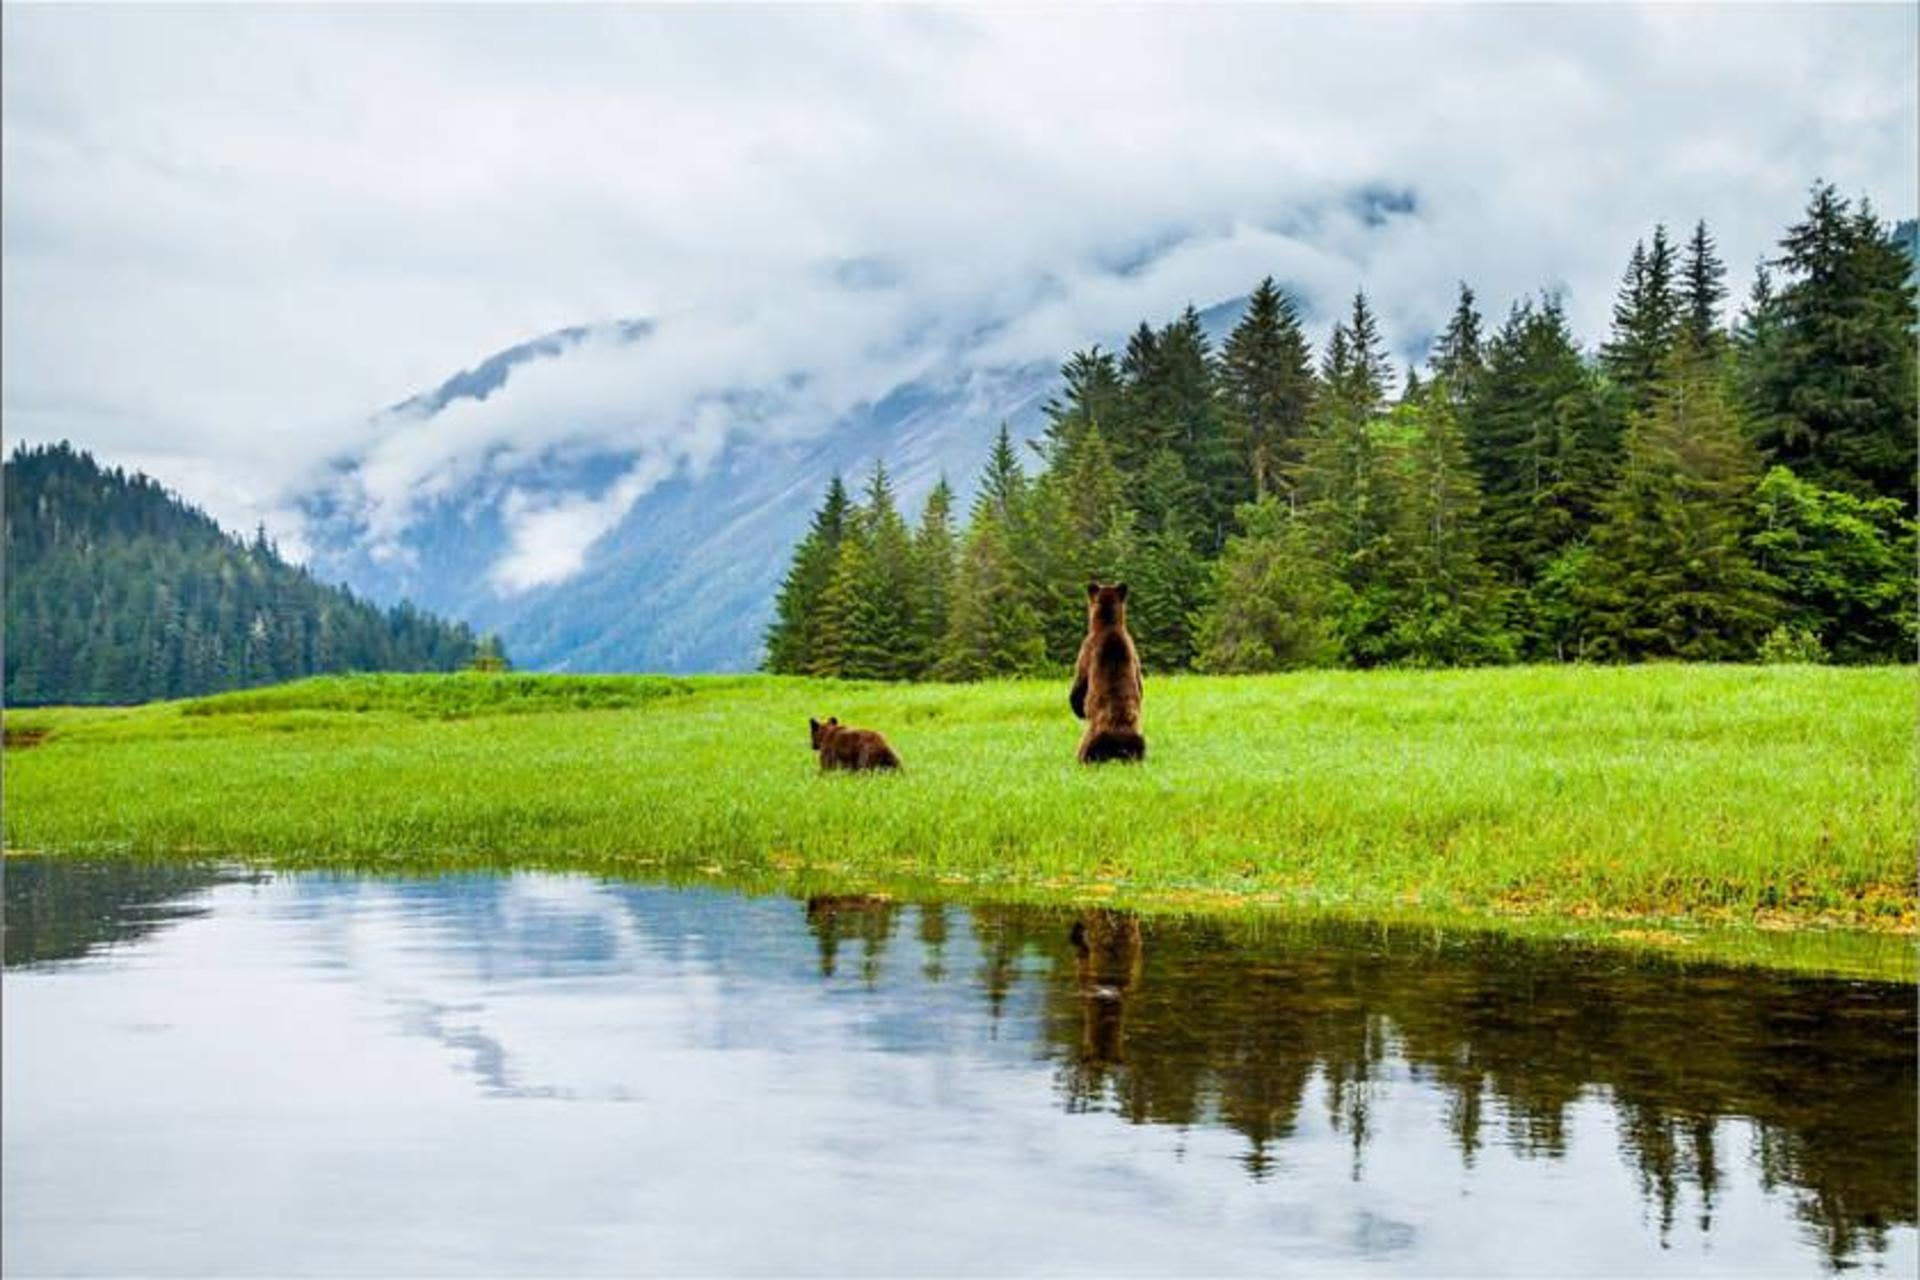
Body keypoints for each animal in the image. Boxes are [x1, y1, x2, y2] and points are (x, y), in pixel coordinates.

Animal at [1069, 581, 1145, 764]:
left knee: (1085, 748)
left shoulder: (1088, 650)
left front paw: (1077, 707)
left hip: (1093, 735)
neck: (1107, 625)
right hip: (1137, 737)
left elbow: (1080, 683)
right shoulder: (1133, 652)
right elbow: (1140, 684)